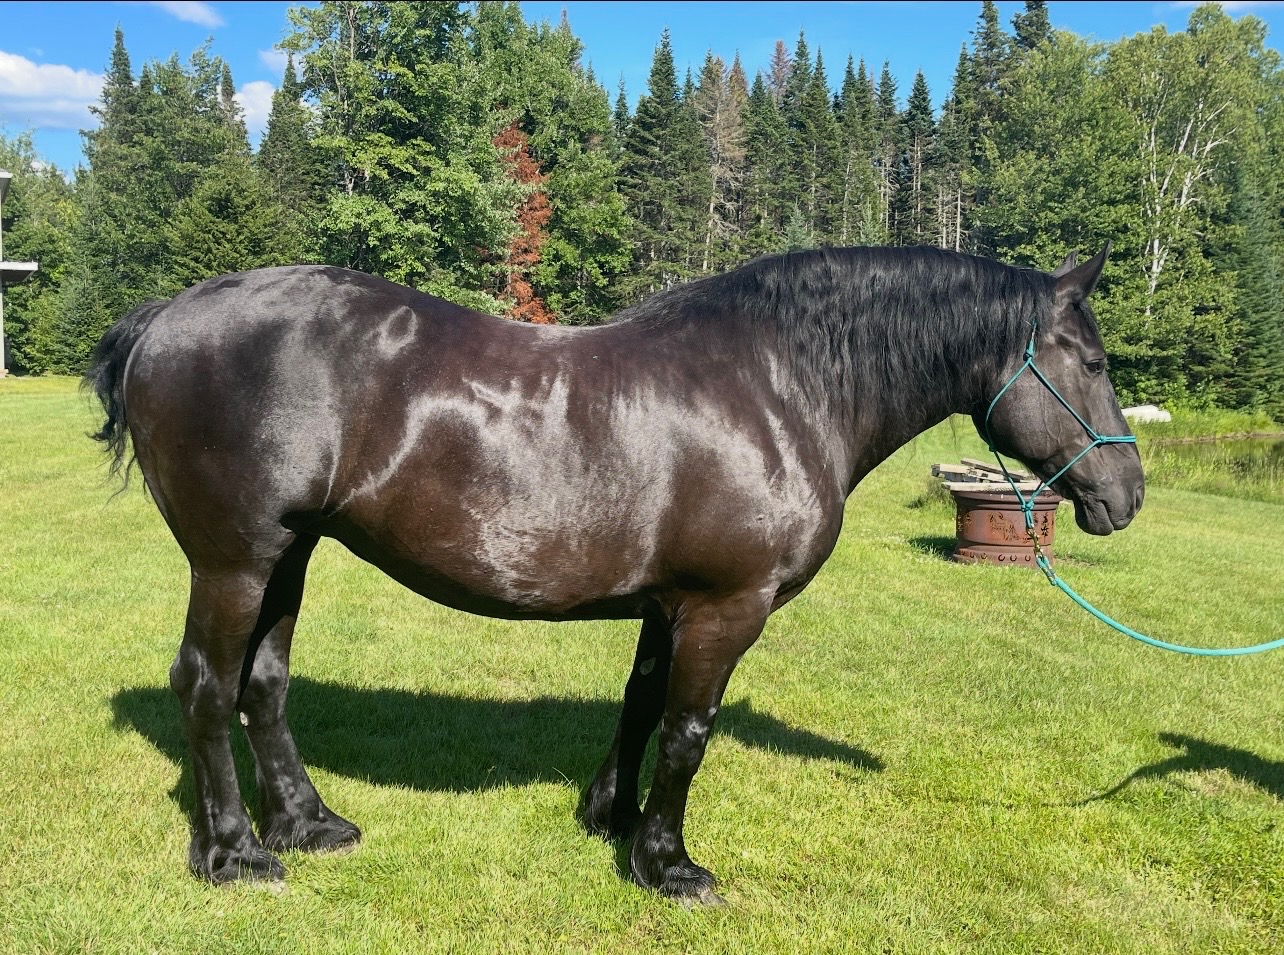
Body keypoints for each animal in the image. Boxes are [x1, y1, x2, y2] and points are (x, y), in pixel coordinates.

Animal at [85, 243, 1144, 904]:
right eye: (1091, 361)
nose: (1127, 492)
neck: (776, 383)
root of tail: (166, 316)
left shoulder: (669, 606)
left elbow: (640, 706)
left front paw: (613, 820)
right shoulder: (726, 606)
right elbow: (688, 730)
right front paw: (670, 864)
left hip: (290, 552)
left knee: (263, 682)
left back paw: (306, 824)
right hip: (235, 558)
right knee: (208, 684)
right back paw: (235, 853)